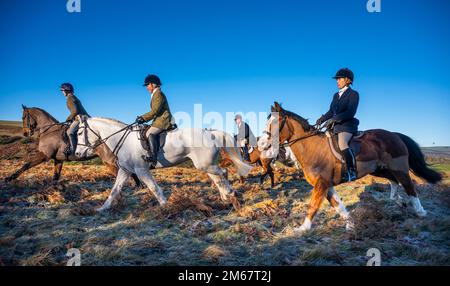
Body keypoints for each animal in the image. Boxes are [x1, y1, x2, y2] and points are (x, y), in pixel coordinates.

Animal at [3, 106, 140, 187]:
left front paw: (9, 178)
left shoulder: (44, 155)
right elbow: (55, 176)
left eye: (23, 117)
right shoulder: (58, 160)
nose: (25, 133)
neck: (49, 130)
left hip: (109, 160)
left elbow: (26, 165)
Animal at [74, 116, 253, 212]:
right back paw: (225, 197)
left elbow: (154, 188)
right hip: (206, 164)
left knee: (223, 173)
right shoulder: (125, 171)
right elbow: (114, 190)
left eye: (80, 132)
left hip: (205, 165)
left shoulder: (141, 170)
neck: (122, 139)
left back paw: (231, 194)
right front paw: (102, 208)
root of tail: (211, 132)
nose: (76, 154)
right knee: (218, 178)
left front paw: (167, 207)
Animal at [258, 101, 442, 233]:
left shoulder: (321, 183)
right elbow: (339, 206)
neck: (312, 148)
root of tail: (394, 135)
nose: (261, 145)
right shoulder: (327, 185)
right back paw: (397, 200)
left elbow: (313, 206)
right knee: (393, 181)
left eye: (276, 123)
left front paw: (302, 229)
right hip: (379, 169)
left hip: (399, 168)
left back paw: (420, 211)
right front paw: (351, 225)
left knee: (409, 186)